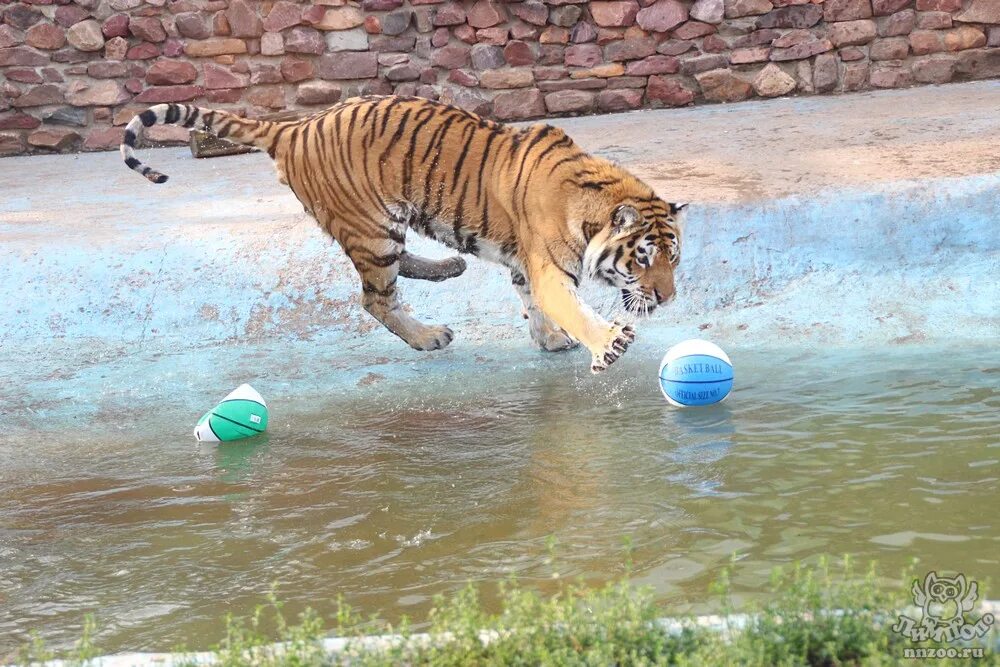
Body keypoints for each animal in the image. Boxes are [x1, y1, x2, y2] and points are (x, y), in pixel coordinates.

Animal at [115, 96, 680, 374]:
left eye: (674, 258)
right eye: (643, 259)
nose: (669, 298)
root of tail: (293, 127)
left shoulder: (526, 264)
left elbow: (533, 304)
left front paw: (549, 340)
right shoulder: (547, 267)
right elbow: (568, 306)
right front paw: (606, 343)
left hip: (385, 226)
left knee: (396, 272)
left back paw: (451, 266)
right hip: (373, 228)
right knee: (375, 298)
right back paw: (429, 335)